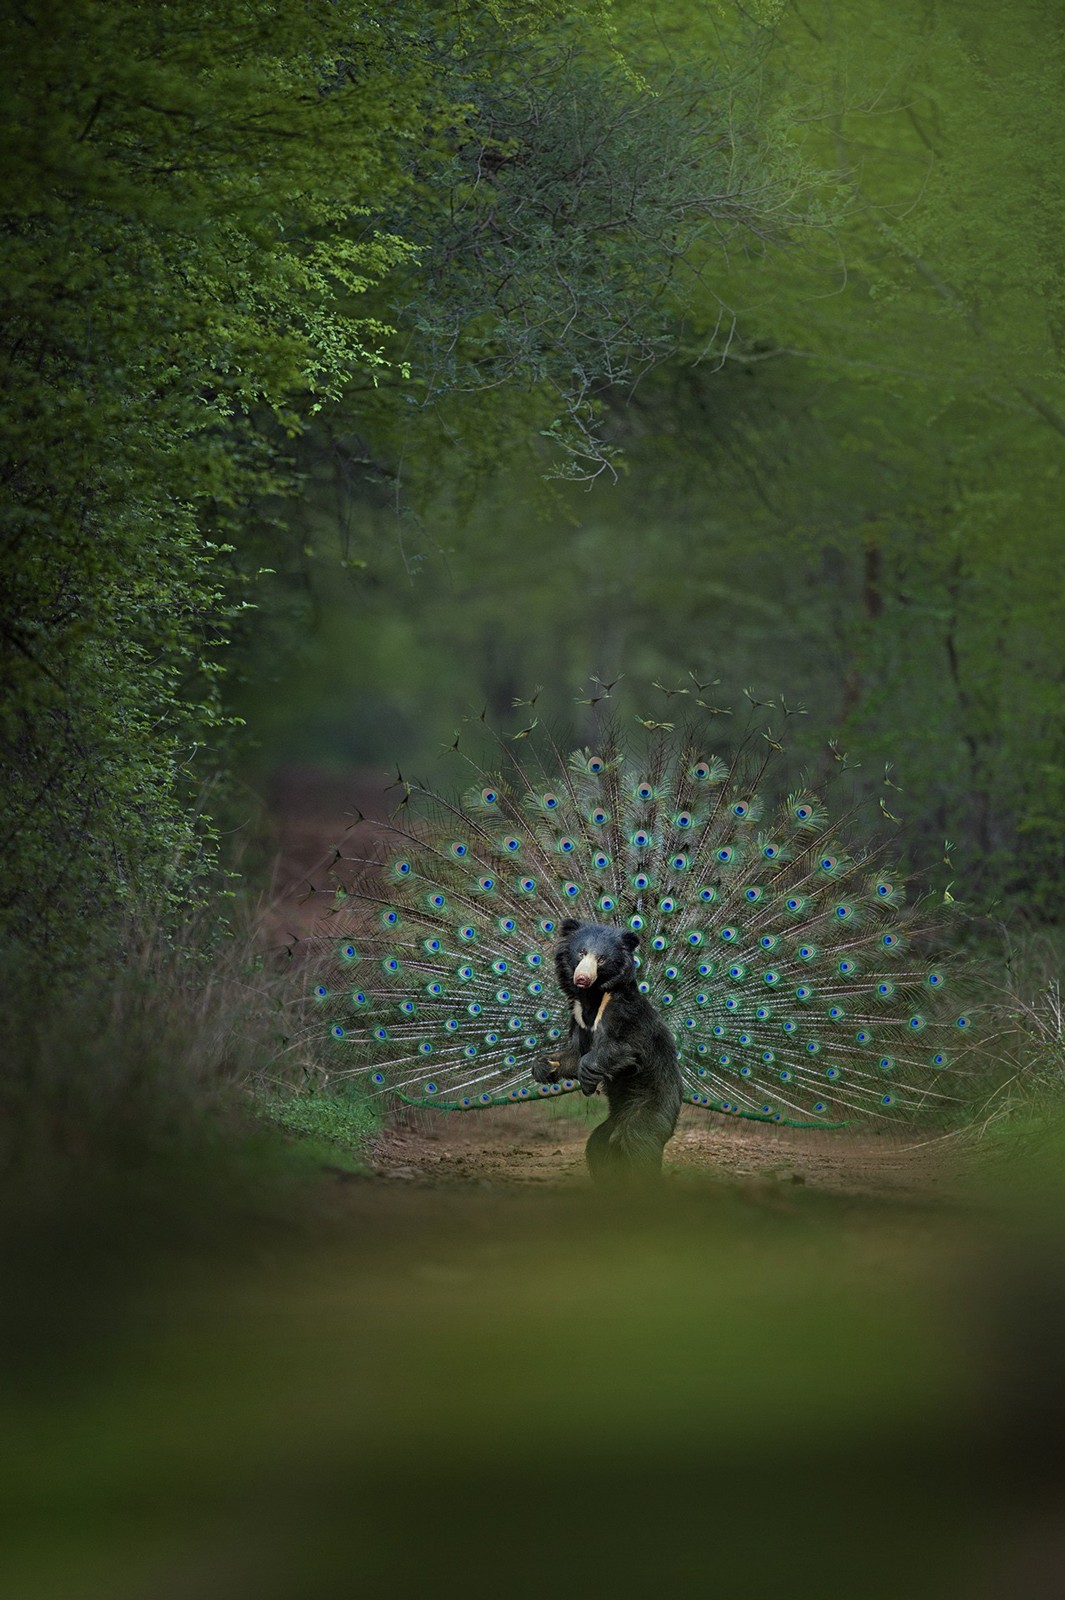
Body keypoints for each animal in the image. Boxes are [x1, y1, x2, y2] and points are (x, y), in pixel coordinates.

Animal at [527, 921, 681, 1184]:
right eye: (581, 952)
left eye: (601, 959)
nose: (581, 978)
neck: (592, 998)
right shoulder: (577, 1017)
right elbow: (574, 1054)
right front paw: (543, 1067)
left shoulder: (624, 1013)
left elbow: (626, 1050)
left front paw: (588, 1078)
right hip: (610, 1129)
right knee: (597, 1150)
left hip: (653, 1108)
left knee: (641, 1146)